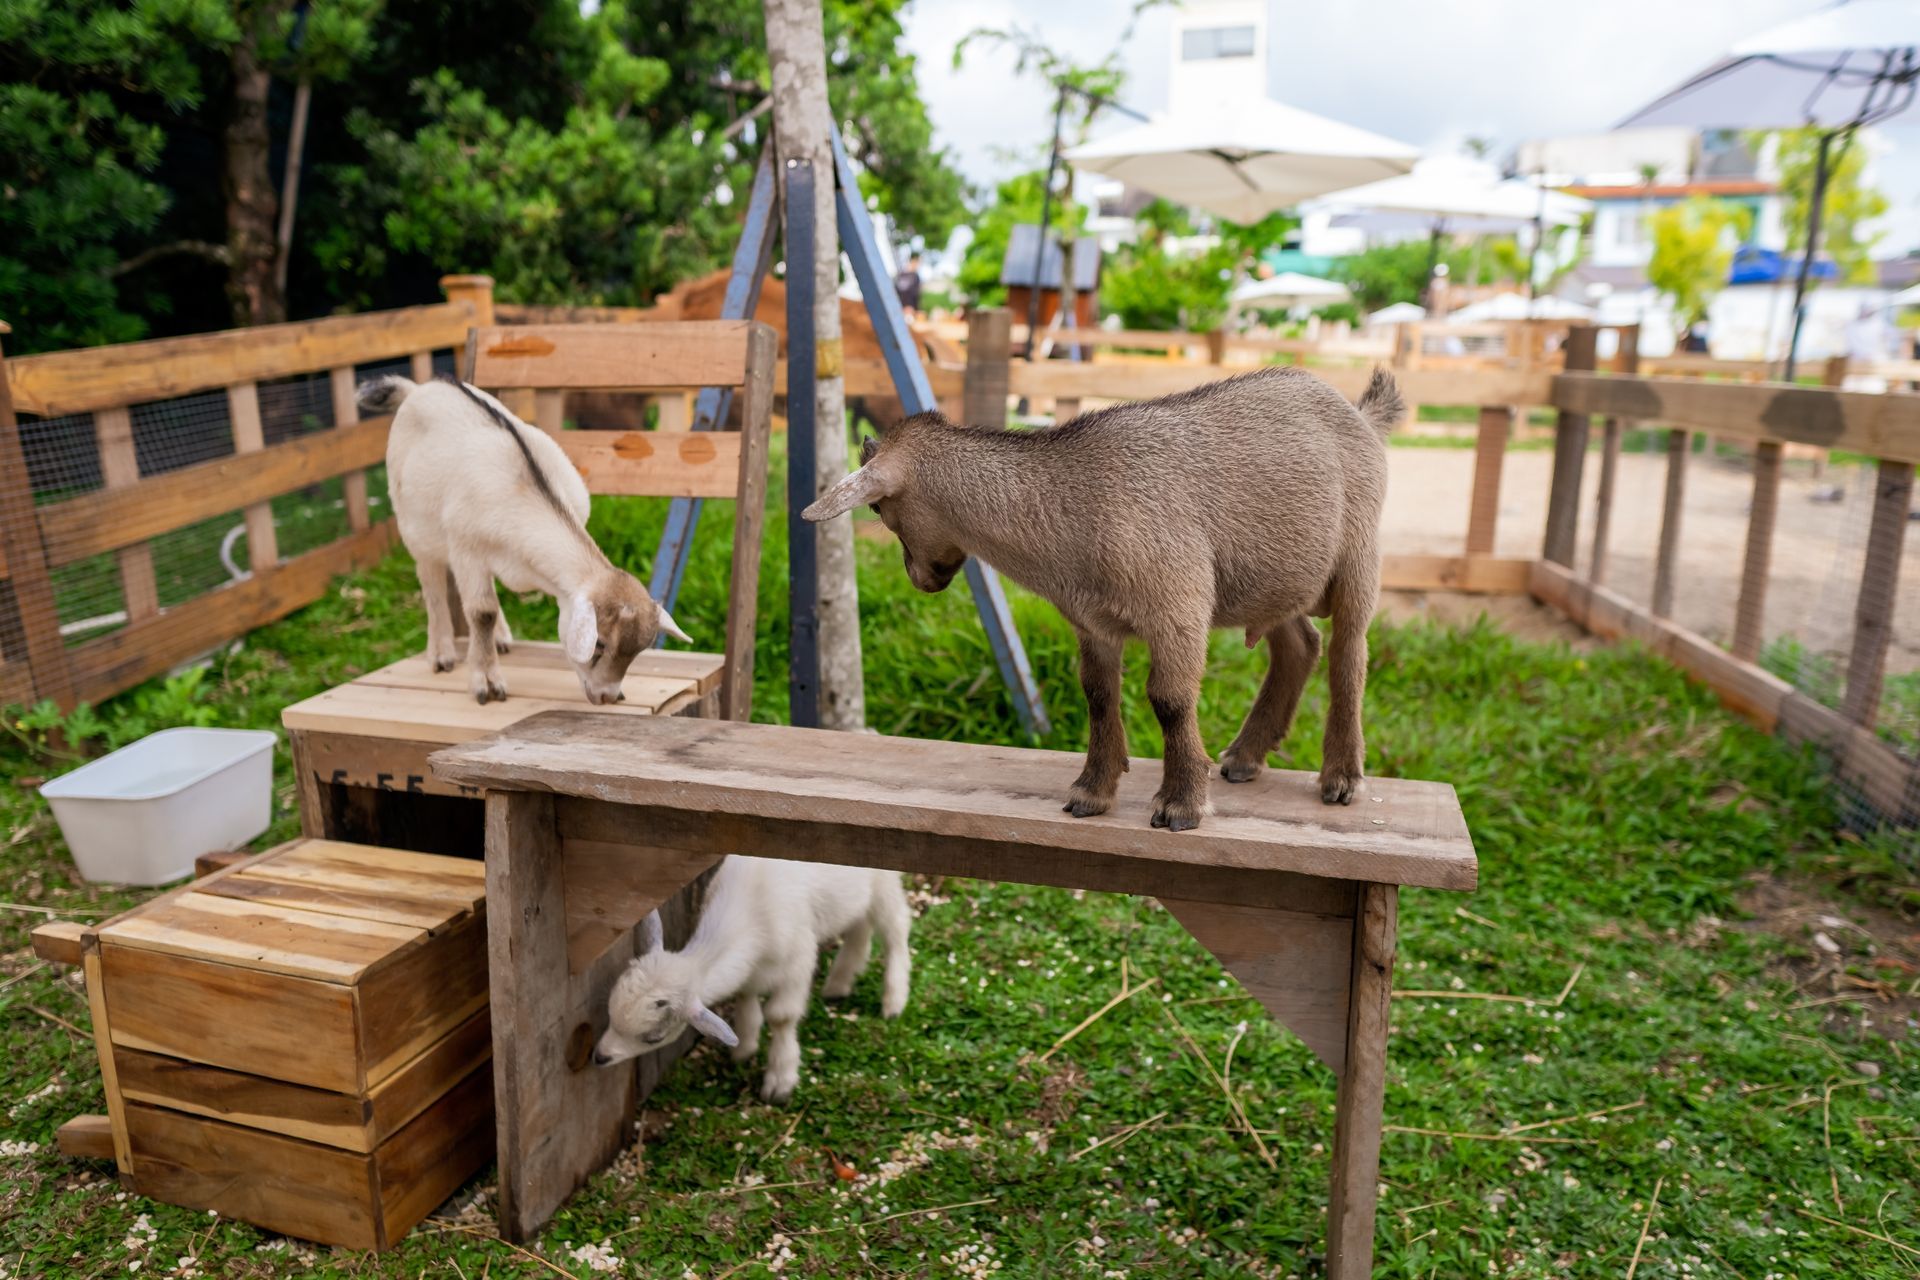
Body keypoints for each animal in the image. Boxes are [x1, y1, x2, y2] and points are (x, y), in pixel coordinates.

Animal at [357, 375, 690, 705]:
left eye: (637, 652)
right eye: (600, 645)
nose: (606, 696)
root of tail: (417, 388)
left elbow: (486, 608)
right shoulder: (466, 550)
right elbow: (482, 613)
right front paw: (487, 683)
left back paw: (500, 638)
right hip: (414, 523)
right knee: (432, 581)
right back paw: (441, 654)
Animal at [593, 857, 912, 1103]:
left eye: (653, 1038)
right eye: (609, 1014)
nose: (599, 1058)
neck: (751, 912)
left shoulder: (797, 961)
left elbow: (781, 1017)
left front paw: (780, 1081)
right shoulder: (750, 971)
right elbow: (746, 1002)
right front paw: (744, 1050)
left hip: (884, 880)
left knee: (895, 926)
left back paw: (894, 1000)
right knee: (861, 926)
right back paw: (839, 983)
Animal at [803, 365, 1404, 831]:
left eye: (877, 509)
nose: (919, 579)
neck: (1078, 503)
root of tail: (1360, 414)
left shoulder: (1177, 606)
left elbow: (1170, 700)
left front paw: (1181, 804)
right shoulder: (1092, 623)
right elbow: (1097, 695)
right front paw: (1091, 792)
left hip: (1358, 553)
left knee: (1350, 653)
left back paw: (1341, 776)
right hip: (1276, 579)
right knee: (1300, 645)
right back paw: (1244, 756)